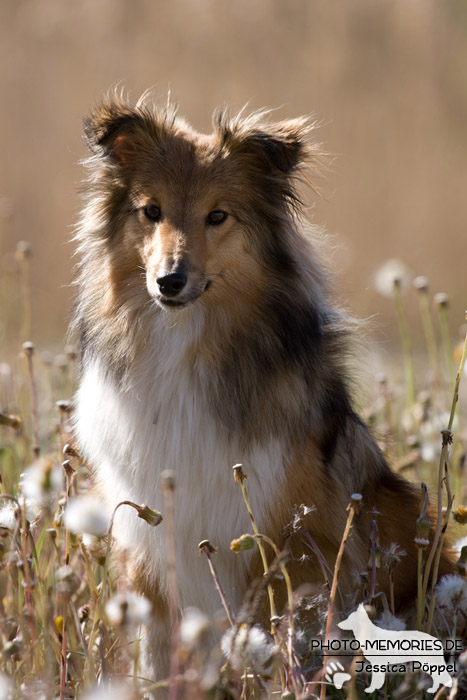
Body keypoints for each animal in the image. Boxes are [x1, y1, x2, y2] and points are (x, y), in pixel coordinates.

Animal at [73, 95, 454, 680]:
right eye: (151, 211)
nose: (169, 281)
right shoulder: (150, 544)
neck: (183, 342)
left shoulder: (290, 540)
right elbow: (157, 652)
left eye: (218, 215)